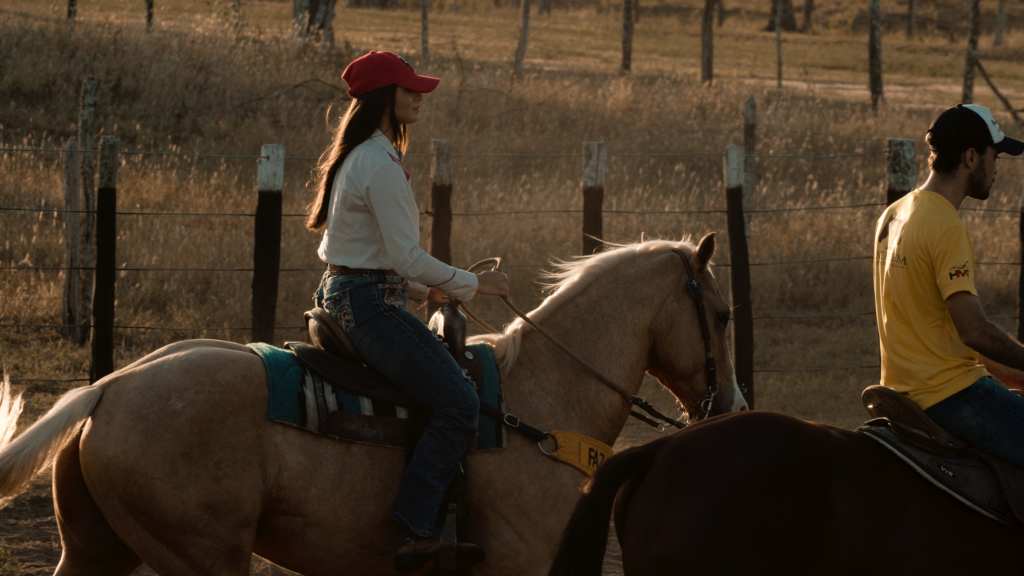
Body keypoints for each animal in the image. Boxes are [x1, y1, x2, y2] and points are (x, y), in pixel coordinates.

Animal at [0, 234, 745, 573]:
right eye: (724, 314)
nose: (730, 407)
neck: (540, 406)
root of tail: (109, 388)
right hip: (201, 554)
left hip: (98, 547)